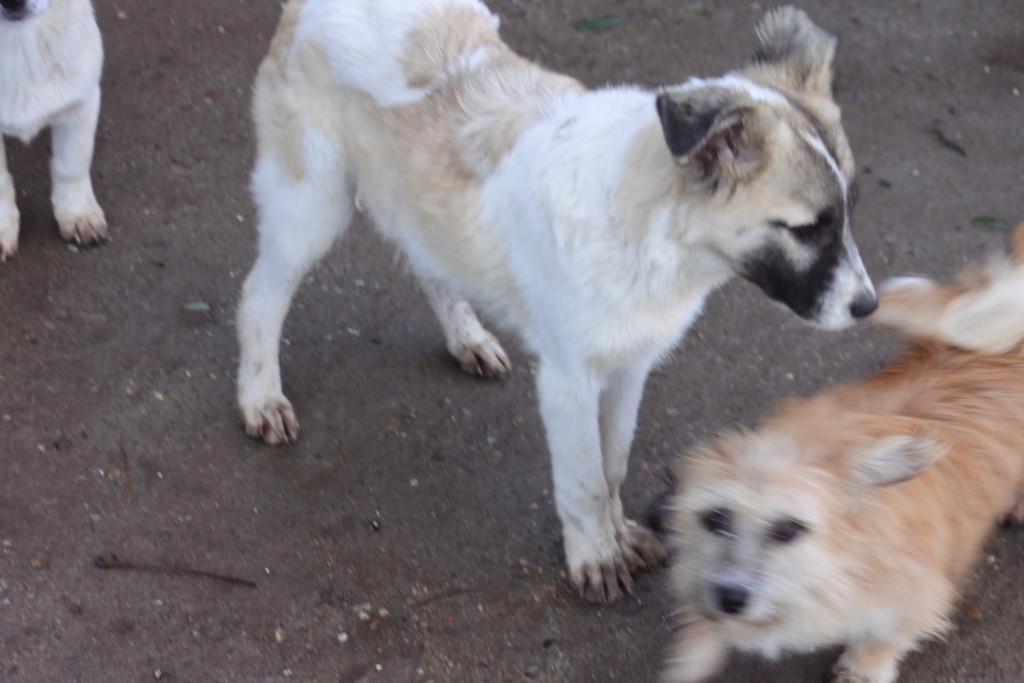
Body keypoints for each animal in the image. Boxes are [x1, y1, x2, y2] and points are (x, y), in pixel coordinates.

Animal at [235, 0, 876, 602]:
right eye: (805, 229)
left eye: (848, 211)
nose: (868, 307)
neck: (646, 229)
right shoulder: (568, 378)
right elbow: (584, 480)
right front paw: (595, 557)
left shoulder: (631, 363)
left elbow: (613, 463)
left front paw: (619, 535)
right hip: (311, 204)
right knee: (259, 299)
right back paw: (260, 397)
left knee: (428, 263)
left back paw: (466, 337)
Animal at [663, 225, 1024, 683]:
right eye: (715, 519)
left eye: (788, 530)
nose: (730, 598)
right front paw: (694, 652)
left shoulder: (917, 598)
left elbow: (881, 639)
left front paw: (862, 669)